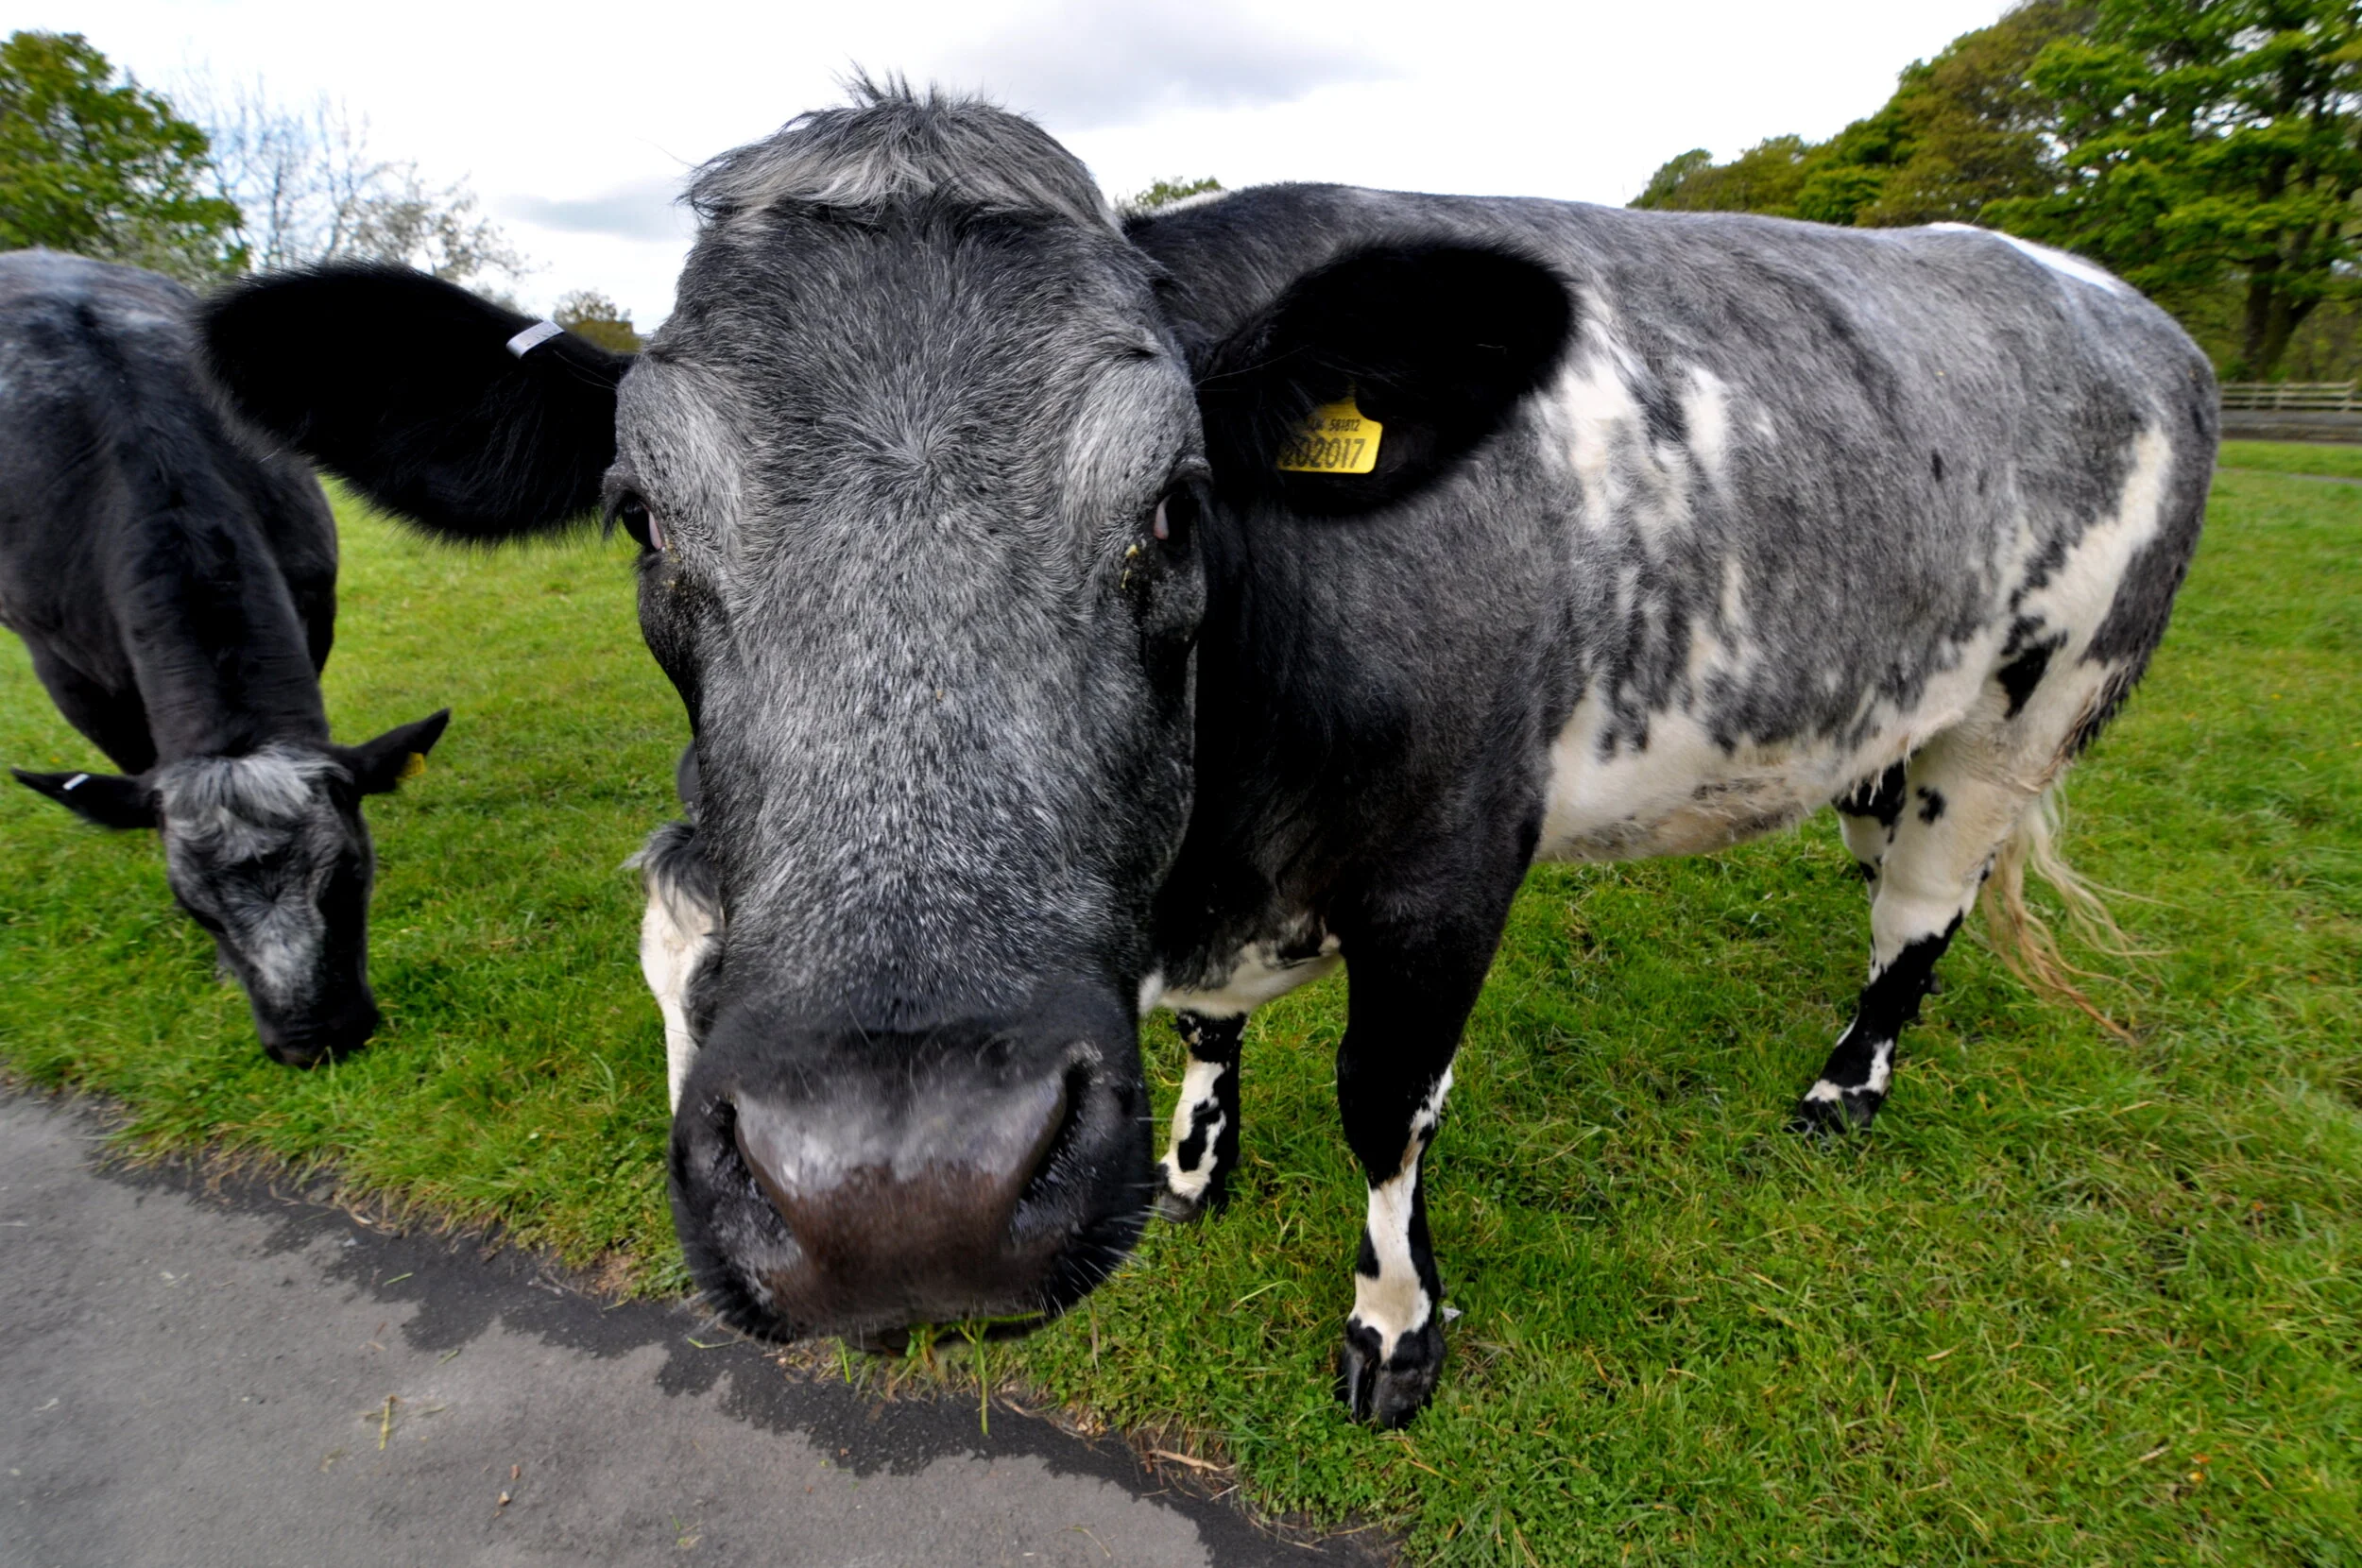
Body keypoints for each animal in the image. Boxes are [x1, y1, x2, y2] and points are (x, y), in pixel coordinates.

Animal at [196, 86, 2213, 1425]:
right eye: (637, 517)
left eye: (1177, 502)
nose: (898, 1199)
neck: (1221, 845)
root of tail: (2101, 292)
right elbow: (1213, 1040)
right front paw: (1194, 1158)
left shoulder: (1448, 867)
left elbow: (1386, 1105)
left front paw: (1392, 1330)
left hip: (2032, 709)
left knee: (1922, 912)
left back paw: (1844, 1087)